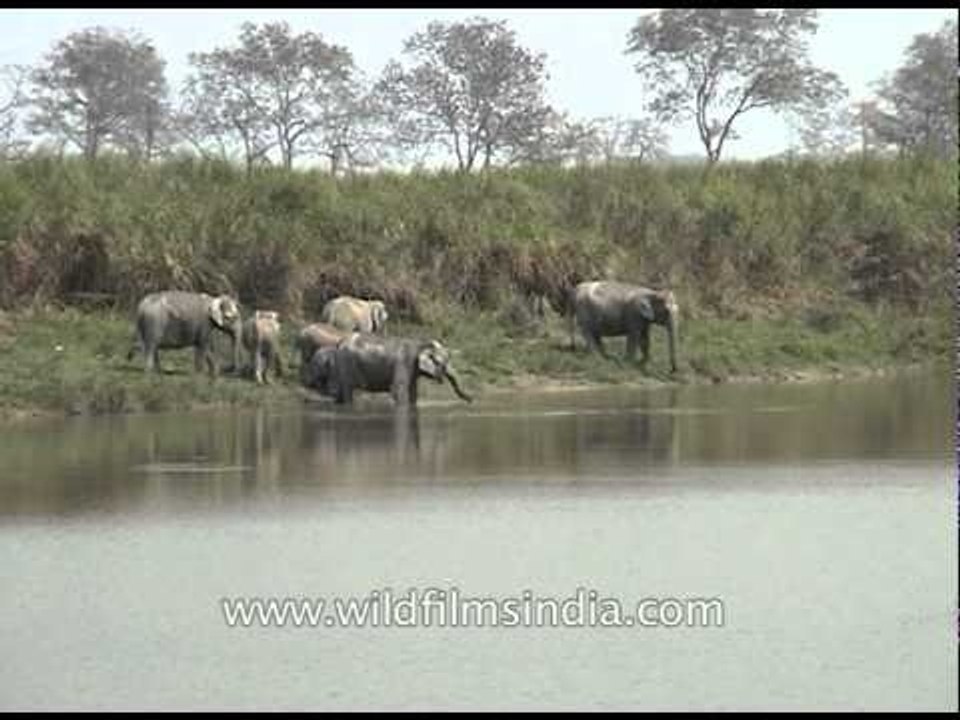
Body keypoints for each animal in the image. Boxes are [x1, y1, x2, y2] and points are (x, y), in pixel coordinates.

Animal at [324, 333, 473, 407]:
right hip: (346, 364)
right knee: (348, 392)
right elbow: (398, 391)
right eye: (444, 362)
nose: (472, 400)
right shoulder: (404, 362)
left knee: (339, 394)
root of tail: (339, 342)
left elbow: (413, 393)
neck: (421, 344)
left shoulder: (412, 370)